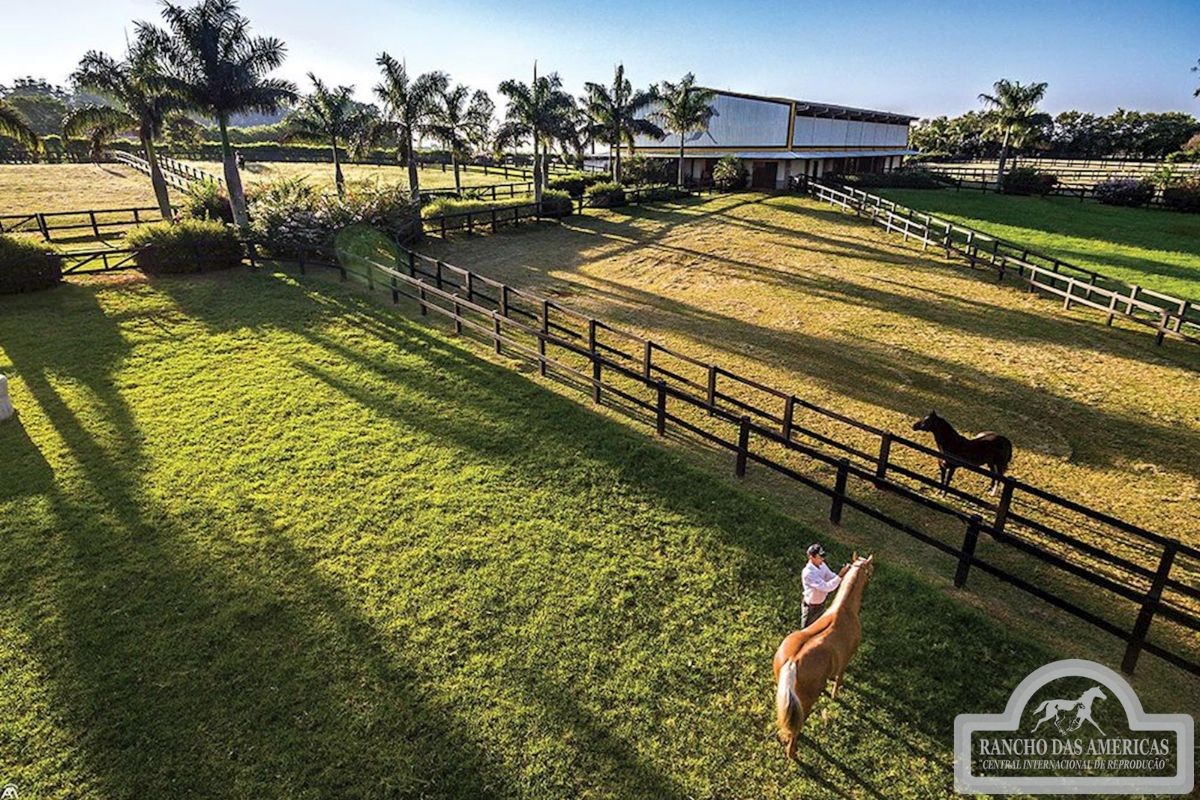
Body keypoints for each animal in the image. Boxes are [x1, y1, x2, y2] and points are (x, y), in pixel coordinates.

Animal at [772, 554, 878, 762]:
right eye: (870, 570)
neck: (844, 610)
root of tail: (792, 661)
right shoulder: (846, 661)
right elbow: (839, 679)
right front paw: (836, 694)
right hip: (806, 703)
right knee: (797, 728)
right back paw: (792, 752)